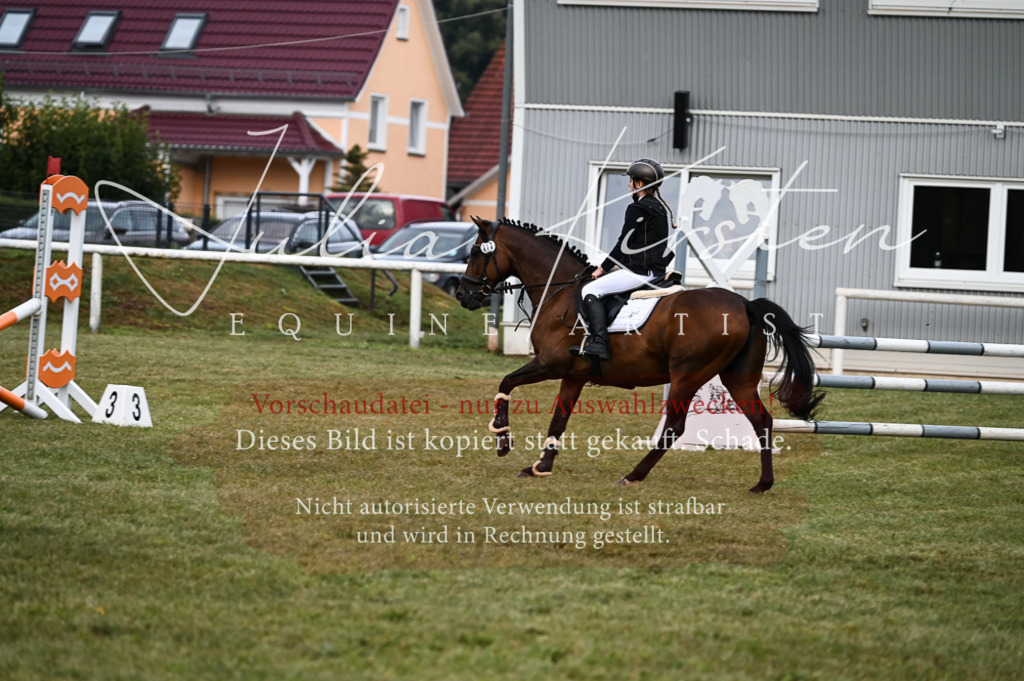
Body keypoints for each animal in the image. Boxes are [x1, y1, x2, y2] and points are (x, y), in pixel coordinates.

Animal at [455, 217, 824, 493]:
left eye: (474, 251)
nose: (462, 294)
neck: (558, 291)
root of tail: (745, 304)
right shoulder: (573, 374)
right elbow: (558, 419)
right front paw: (540, 466)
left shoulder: (551, 364)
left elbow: (507, 382)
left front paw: (502, 439)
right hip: (738, 378)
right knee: (762, 421)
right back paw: (762, 484)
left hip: (687, 375)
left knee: (674, 428)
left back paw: (633, 475)